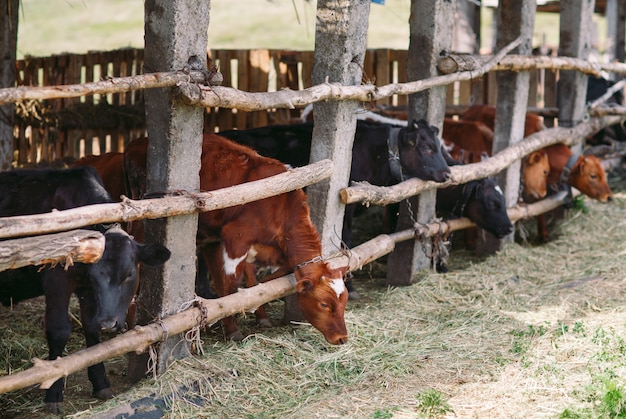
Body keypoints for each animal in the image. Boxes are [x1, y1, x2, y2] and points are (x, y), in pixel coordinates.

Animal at [0, 167, 171, 414]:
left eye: (130, 273)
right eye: (94, 274)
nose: (109, 323)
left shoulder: (87, 292)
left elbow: (91, 329)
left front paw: (100, 383)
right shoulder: (57, 281)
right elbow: (59, 331)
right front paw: (53, 394)